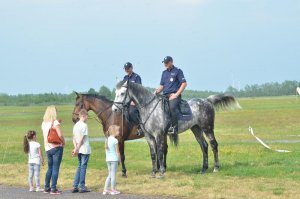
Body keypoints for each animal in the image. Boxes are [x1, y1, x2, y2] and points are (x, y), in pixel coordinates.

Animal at [111, 81, 240, 177]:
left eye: (122, 93)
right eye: (116, 92)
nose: (114, 109)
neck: (150, 108)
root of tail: (207, 101)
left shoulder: (159, 135)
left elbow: (160, 152)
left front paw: (161, 172)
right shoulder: (149, 137)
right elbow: (153, 154)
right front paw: (153, 172)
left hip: (207, 128)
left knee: (213, 144)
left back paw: (216, 168)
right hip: (196, 129)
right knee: (204, 145)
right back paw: (203, 169)